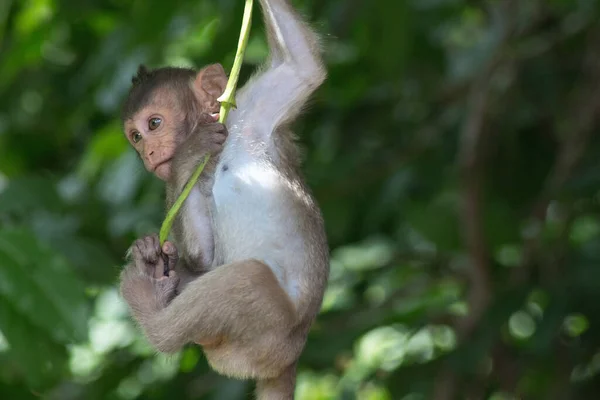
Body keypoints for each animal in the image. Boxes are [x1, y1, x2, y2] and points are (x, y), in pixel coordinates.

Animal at [117, 0, 328, 396]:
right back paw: (156, 281)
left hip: (271, 335)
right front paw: (189, 153)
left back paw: (151, 300)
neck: (221, 149)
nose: (147, 154)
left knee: (247, 278)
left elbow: (302, 67)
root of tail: (289, 359)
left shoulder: (251, 110)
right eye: (135, 137)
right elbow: (203, 256)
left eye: (154, 124)